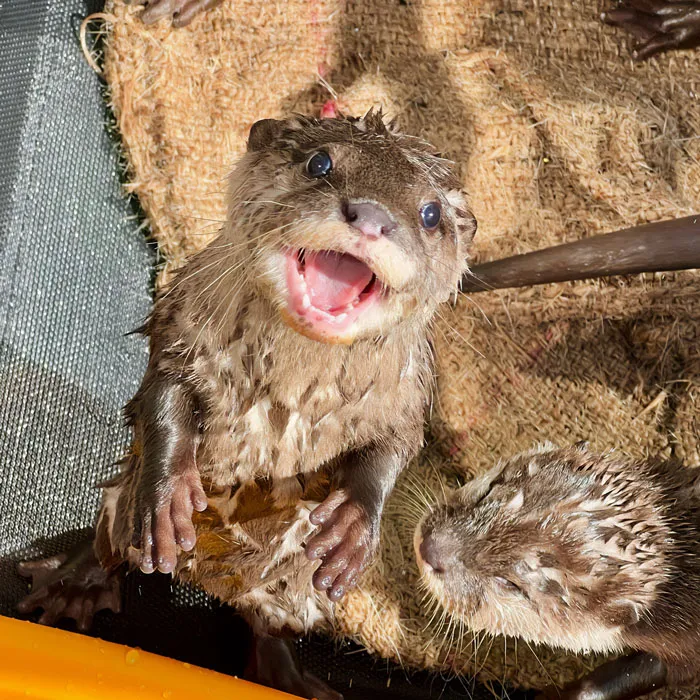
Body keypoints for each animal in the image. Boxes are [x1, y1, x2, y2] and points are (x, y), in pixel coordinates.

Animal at [17, 111, 476, 700]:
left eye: (431, 213)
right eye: (320, 162)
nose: (373, 217)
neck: (290, 393)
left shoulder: (410, 389)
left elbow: (394, 447)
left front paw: (352, 524)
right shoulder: (183, 326)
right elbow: (164, 395)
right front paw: (170, 497)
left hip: (293, 594)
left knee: (267, 621)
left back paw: (290, 677)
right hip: (119, 511)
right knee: (111, 545)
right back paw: (73, 585)